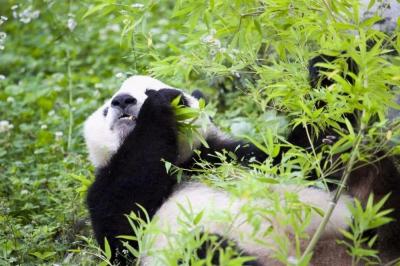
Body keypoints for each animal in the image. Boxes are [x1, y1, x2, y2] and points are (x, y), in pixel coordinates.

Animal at [84, 75, 354, 266]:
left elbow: (301, 159)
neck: (183, 163)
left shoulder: (233, 158)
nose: (122, 100)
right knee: (206, 249)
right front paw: (159, 108)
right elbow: (121, 227)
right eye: (106, 109)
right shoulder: (106, 187)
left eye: (148, 89)